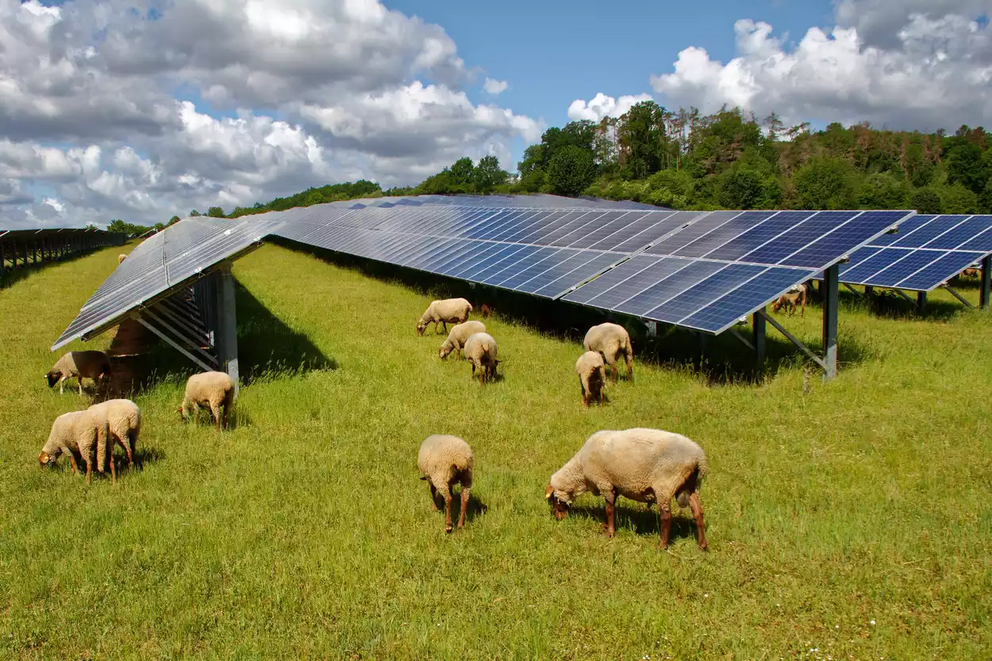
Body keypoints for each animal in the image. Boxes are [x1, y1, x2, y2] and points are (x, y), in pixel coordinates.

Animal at [548, 426, 708, 548]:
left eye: (553, 499)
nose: (558, 518)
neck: (580, 470)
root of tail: (699, 458)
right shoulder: (614, 486)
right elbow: (611, 507)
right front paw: (607, 527)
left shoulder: (604, 483)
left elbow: (609, 509)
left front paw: (610, 533)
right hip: (690, 485)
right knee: (698, 513)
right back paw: (702, 545)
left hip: (666, 484)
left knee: (666, 516)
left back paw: (662, 545)